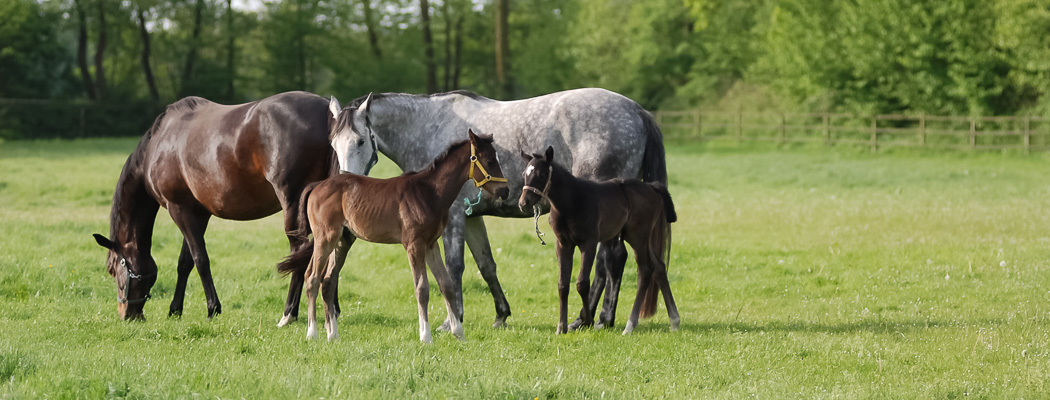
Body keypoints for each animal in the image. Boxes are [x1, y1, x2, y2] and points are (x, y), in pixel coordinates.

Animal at [90, 91, 377, 319]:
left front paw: (212, 308)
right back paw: (331, 306)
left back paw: (289, 312)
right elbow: (185, 262)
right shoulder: (197, 212)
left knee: (300, 249)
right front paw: (175, 309)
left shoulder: (178, 208)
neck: (159, 145)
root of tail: (326, 113)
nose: (128, 315)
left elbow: (200, 259)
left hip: (294, 203)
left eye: (113, 270)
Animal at [277, 129, 510, 342]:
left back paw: (333, 335)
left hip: (342, 241)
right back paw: (312, 333)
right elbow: (422, 288)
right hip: (325, 238)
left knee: (328, 281)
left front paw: (458, 333)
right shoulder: (414, 245)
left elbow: (446, 285)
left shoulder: (431, 244)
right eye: (490, 161)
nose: (505, 192)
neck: (430, 193)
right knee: (312, 277)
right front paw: (425, 336)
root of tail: (317, 185)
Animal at [516, 145, 680, 333]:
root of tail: (651, 187)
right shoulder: (563, 244)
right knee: (658, 266)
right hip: (641, 238)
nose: (524, 203)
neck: (571, 202)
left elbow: (582, 283)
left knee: (645, 270)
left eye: (542, 175)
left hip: (638, 236)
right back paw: (674, 320)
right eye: (524, 174)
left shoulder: (589, 243)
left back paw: (630, 325)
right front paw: (561, 327)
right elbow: (563, 284)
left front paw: (586, 320)